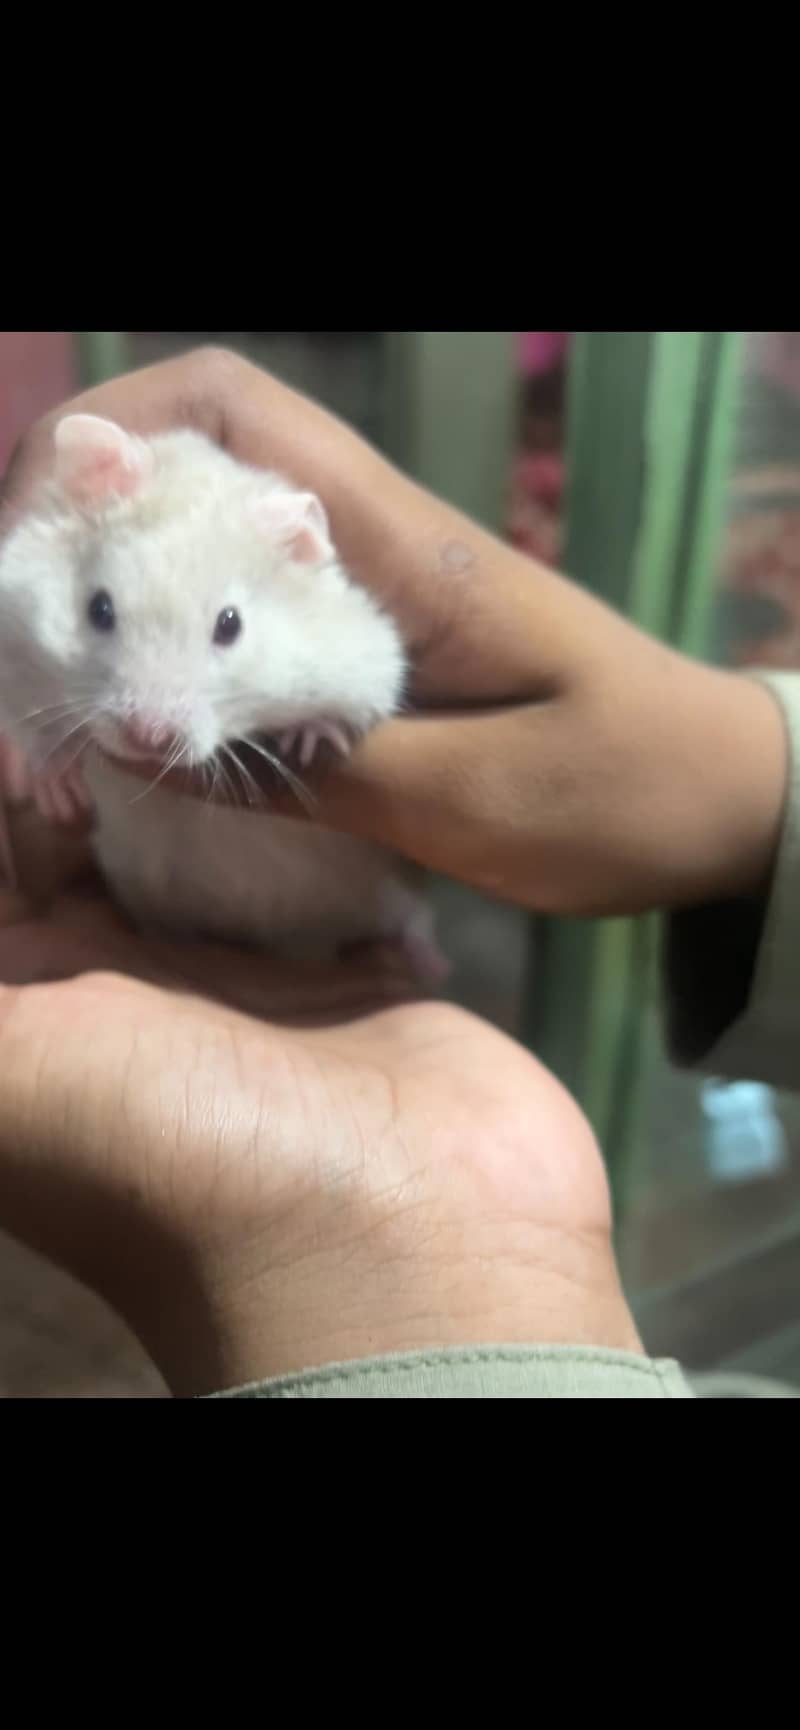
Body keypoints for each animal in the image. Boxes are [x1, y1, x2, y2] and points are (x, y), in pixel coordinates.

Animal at [0, 414, 440, 967]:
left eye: (230, 625)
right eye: (98, 608)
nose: (147, 737)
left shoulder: (368, 654)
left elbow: (355, 704)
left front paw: (308, 740)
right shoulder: (14, 643)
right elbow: (33, 726)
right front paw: (59, 793)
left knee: (410, 916)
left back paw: (427, 961)